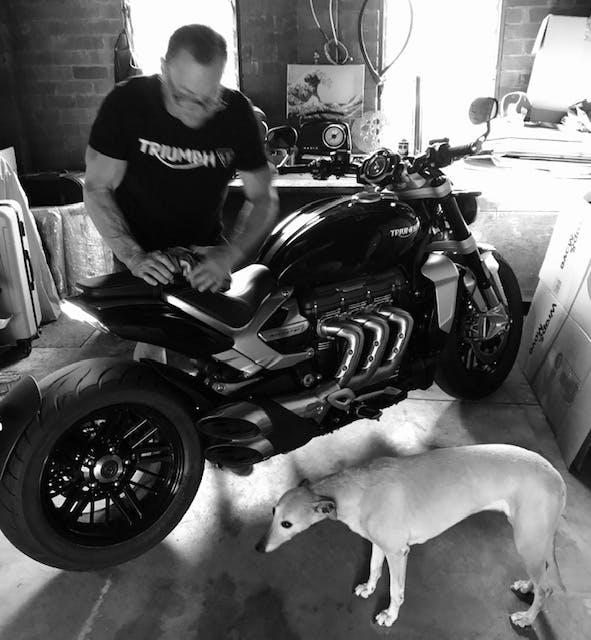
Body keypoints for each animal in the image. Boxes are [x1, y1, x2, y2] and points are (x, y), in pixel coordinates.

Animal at [256, 442, 568, 628]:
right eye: (272, 512)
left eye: (286, 524)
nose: (258, 548)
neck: (353, 490)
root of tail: (556, 475)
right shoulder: (379, 543)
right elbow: (373, 568)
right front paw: (368, 588)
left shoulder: (398, 552)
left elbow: (396, 590)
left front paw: (389, 615)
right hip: (533, 539)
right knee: (541, 575)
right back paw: (527, 586)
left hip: (528, 539)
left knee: (547, 588)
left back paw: (527, 617)